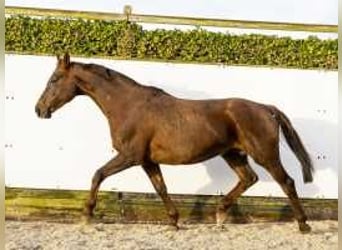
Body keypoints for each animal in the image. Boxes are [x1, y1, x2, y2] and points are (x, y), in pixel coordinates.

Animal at [34, 53, 312, 233]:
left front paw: (86, 216)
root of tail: (267, 108)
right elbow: (161, 188)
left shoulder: (130, 156)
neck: (128, 105)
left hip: (264, 154)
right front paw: (174, 221)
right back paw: (220, 215)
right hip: (233, 154)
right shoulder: (147, 161)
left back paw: (303, 224)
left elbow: (98, 174)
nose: (39, 109)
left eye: (54, 79)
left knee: (286, 182)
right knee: (249, 179)